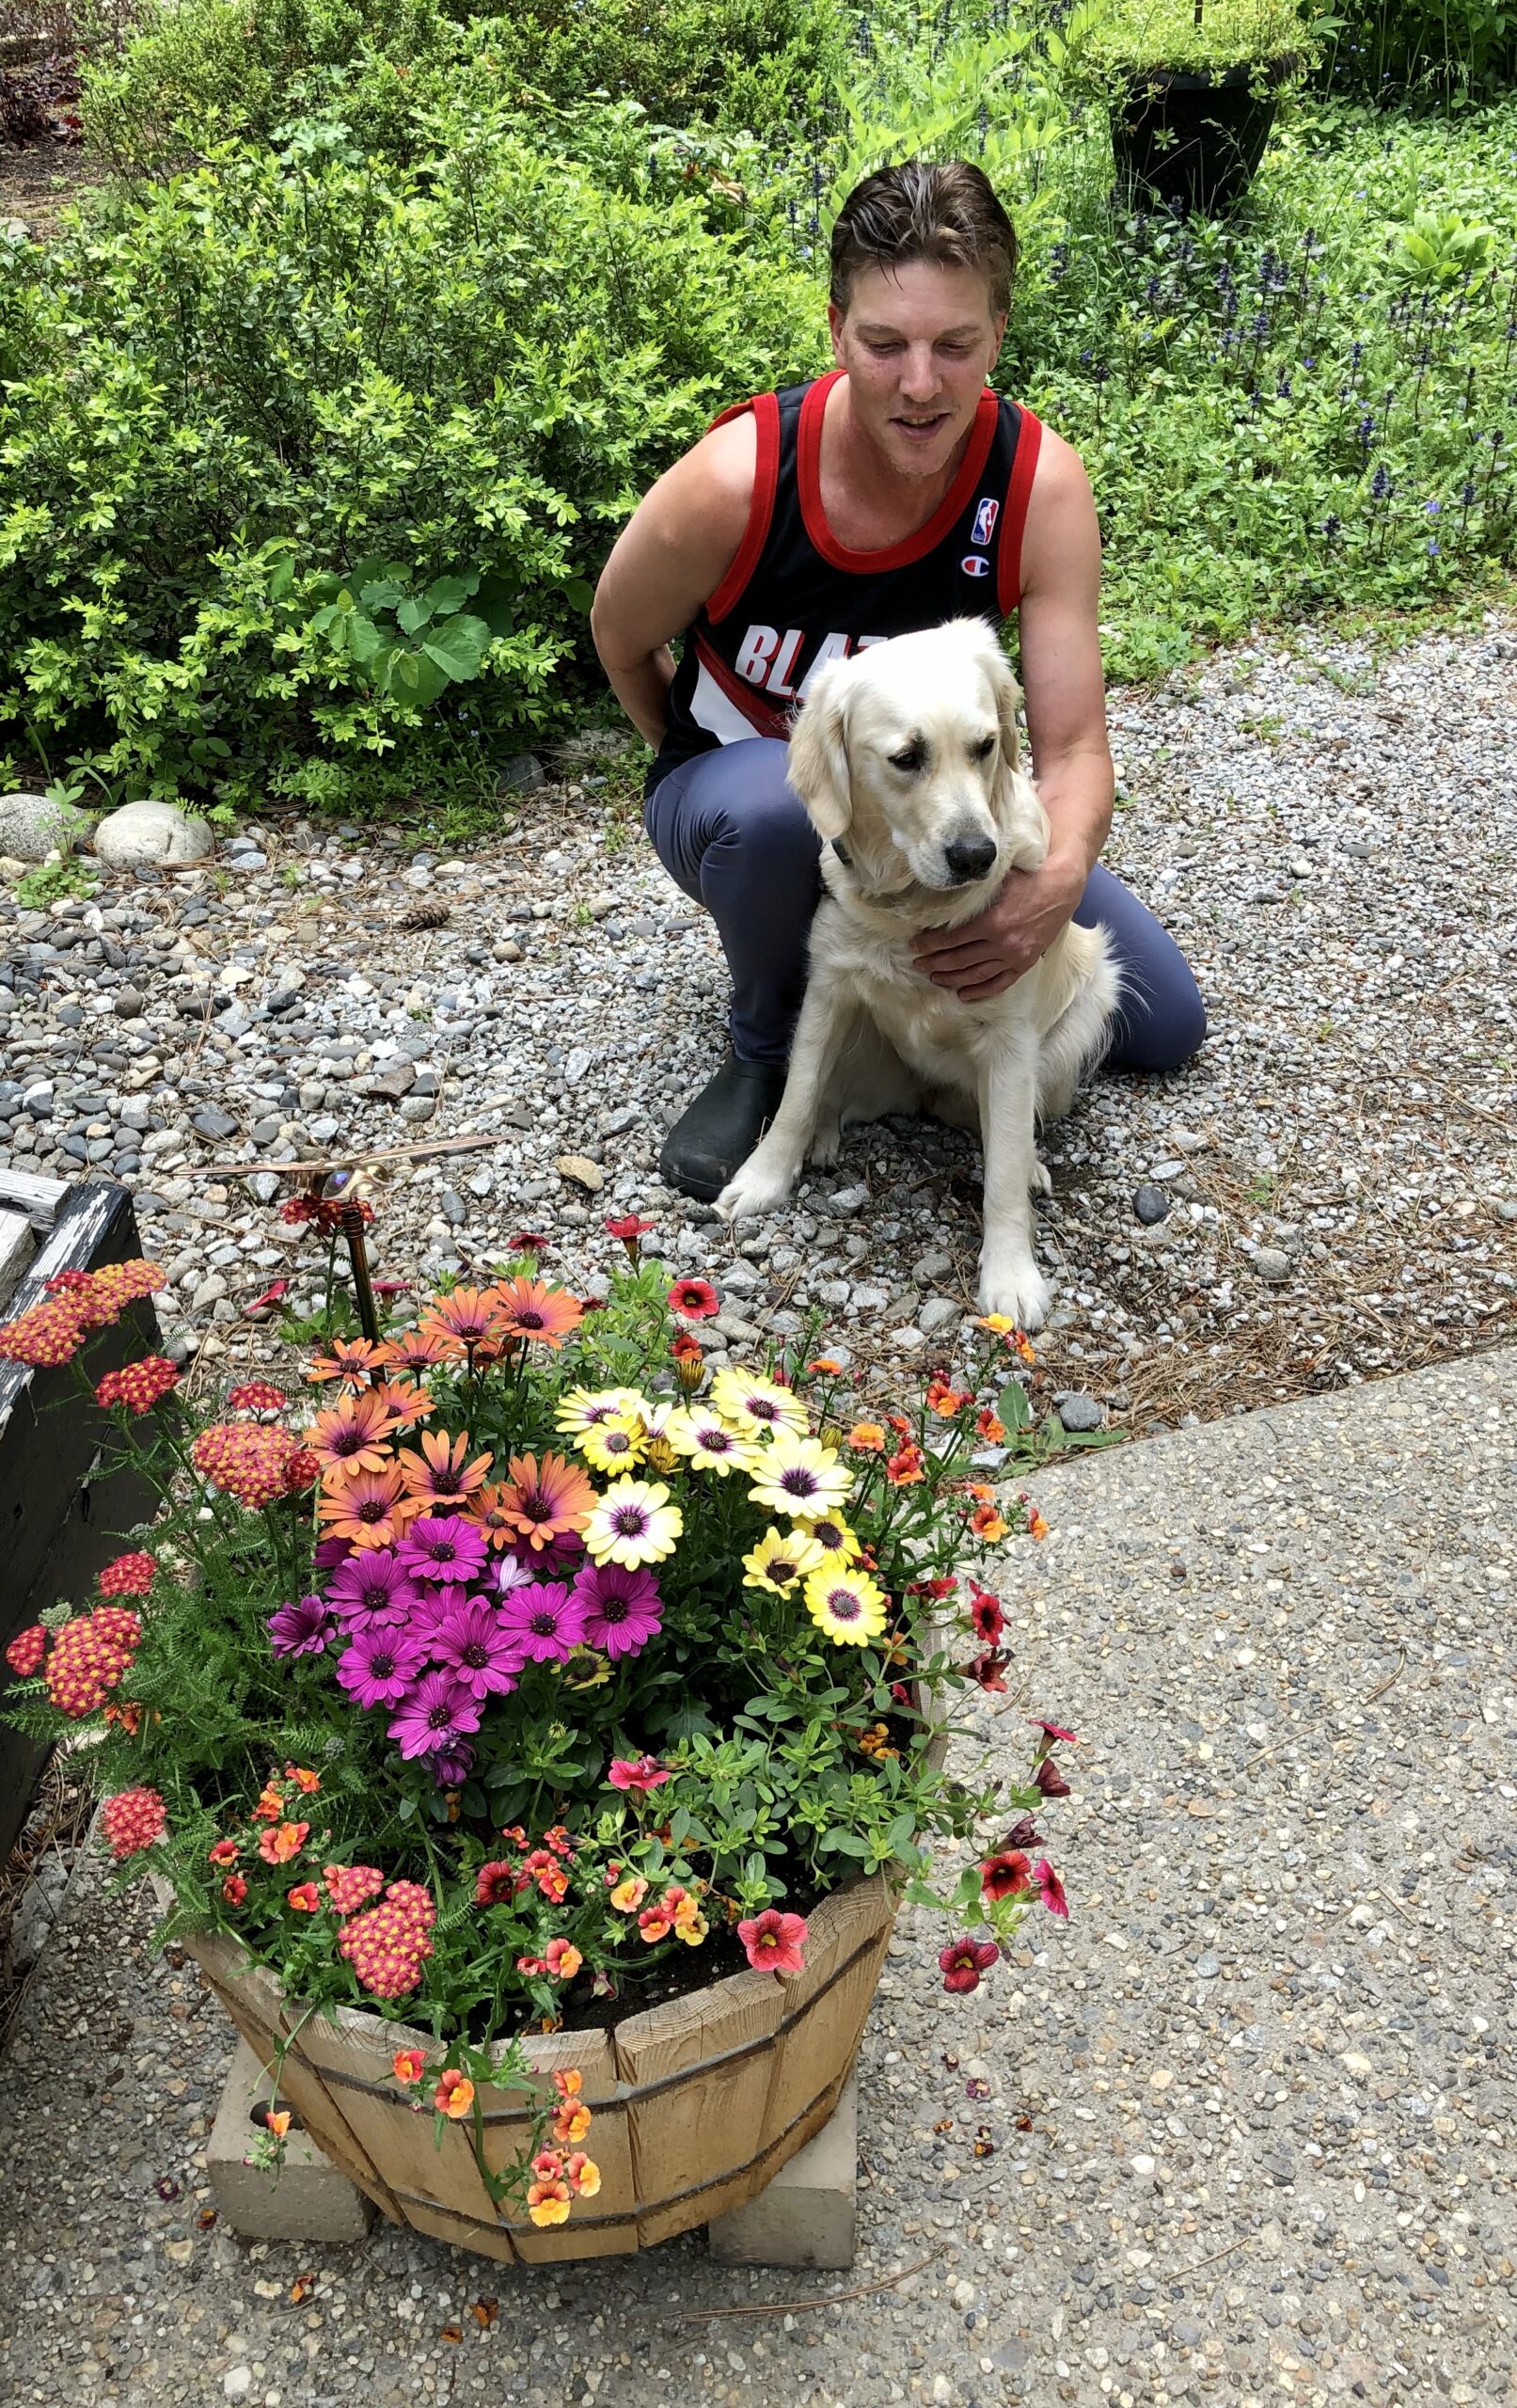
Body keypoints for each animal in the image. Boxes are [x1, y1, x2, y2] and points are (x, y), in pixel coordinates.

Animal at [717, 611, 1122, 1329]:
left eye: (985, 746)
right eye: (907, 758)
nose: (976, 855)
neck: (916, 910)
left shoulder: (1009, 1037)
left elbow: (1002, 1173)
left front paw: (1010, 1275)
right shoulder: (828, 987)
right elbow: (797, 1096)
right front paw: (762, 1178)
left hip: (1090, 998)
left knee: (1009, 1129)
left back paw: (1030, 1165)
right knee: (832, 1096)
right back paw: (824, 1138)